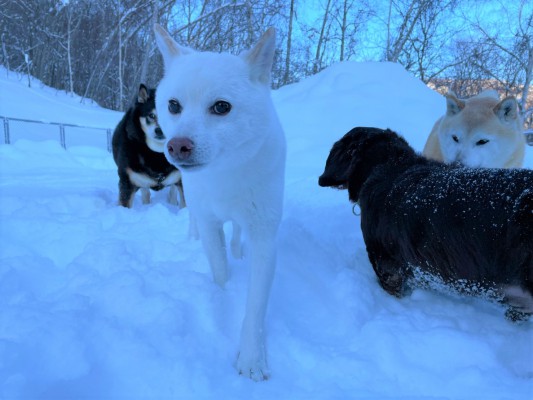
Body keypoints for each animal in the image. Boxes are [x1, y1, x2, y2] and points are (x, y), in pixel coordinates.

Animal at [154, 23, 284, 380]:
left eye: (222, 107)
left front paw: (252, 359)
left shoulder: (264, 232)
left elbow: (255, 307)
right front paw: (222, 299)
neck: (224, 175)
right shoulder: (210, 221)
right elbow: (220, 270)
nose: (177, 146)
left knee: (237, 235)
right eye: (173, 105)